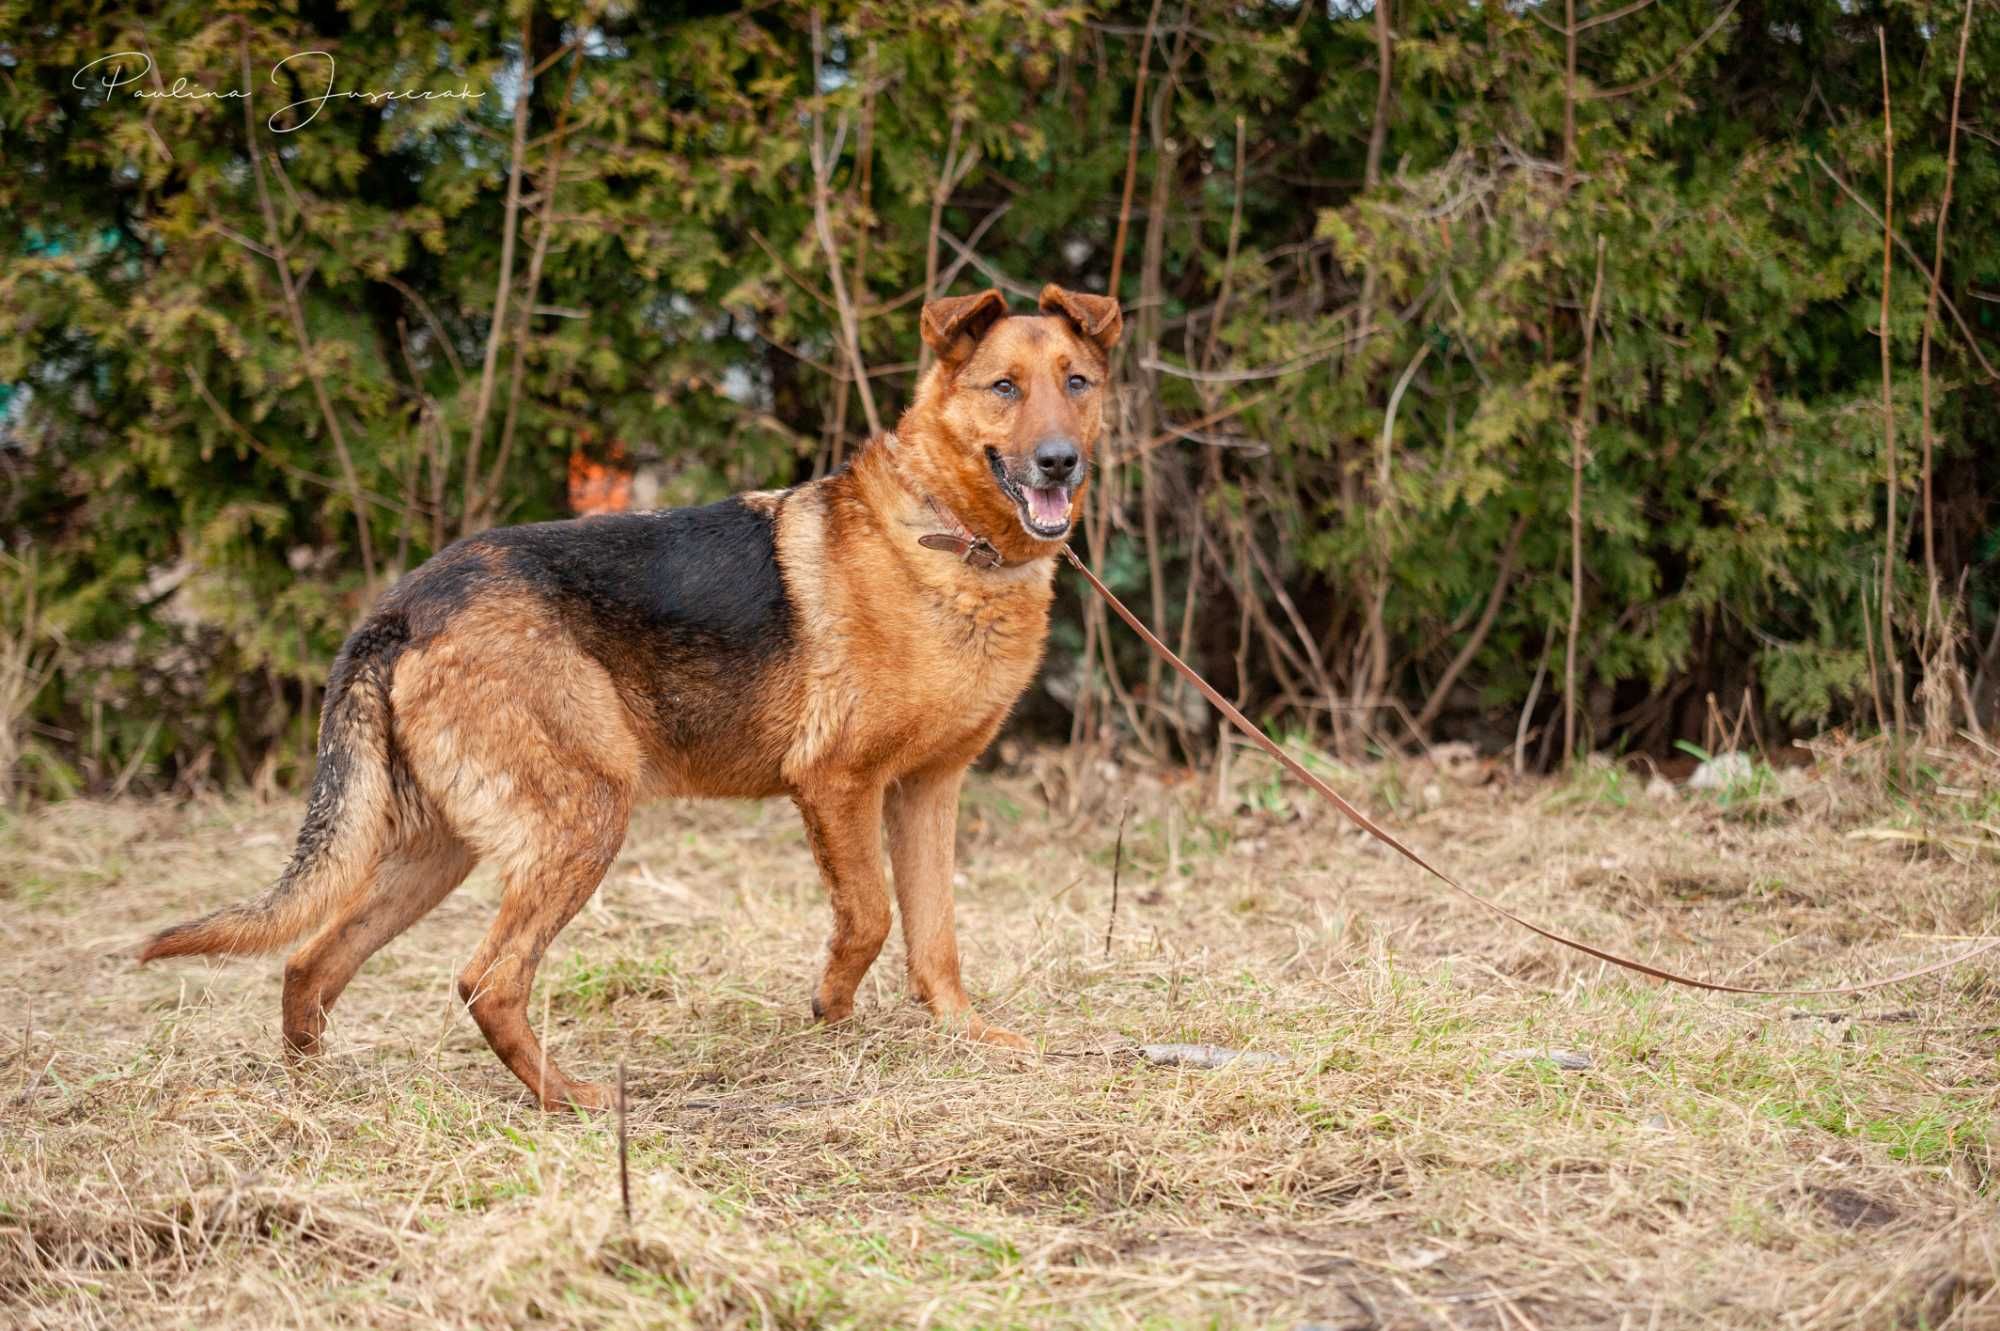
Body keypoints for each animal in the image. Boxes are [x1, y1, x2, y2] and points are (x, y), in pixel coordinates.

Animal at [141, 281, 1128, 1111]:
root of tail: (406, 601)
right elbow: (873, 916)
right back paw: (571, 1101)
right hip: (583, 818)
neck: (953, 538)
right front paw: (832, 1013)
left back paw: (317, 1099)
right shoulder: (837, 784)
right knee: (486, 979)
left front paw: (963, 1036)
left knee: (311, 961)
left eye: (1076, 382)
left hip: (437, 852)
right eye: (1004, 387)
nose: (1059, 463)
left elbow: (935, 936)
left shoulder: (927, 791)